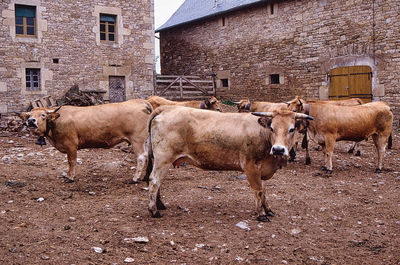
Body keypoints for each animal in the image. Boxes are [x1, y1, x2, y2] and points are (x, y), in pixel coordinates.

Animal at [17, 98, 152, 183]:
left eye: (43, 115)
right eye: (29, 116)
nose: (31, 121)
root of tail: (140, 101)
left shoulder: (71, 145)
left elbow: (71, 161)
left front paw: (70, 177)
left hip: (137, 139)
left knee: (141, 157)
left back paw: (135, 179)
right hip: (146, 140)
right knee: (150, 156)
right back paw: (145, 177)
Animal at [143, 105, 312, 221]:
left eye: (291, 129)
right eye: (272, 127)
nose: (278, 149)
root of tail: (167, 107)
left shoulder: (263, 171)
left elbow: (264, 191)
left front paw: (268, 209)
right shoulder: (250, 167)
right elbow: (258, 191)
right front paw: (261, 214)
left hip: (160, 160)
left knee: (158, 182)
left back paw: (160, 205)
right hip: (163, 158)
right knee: (154, 181)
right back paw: (153, 210)